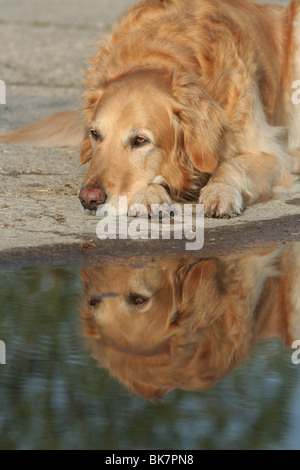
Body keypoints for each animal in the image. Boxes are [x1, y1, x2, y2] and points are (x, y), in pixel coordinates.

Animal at [0, 0, 300, 217]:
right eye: (94, 135)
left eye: (140, 140)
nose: (89, 200)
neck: (164, 55)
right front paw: (148, 195)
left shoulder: (269, 153)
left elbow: (233, 165)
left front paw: (219, 192)